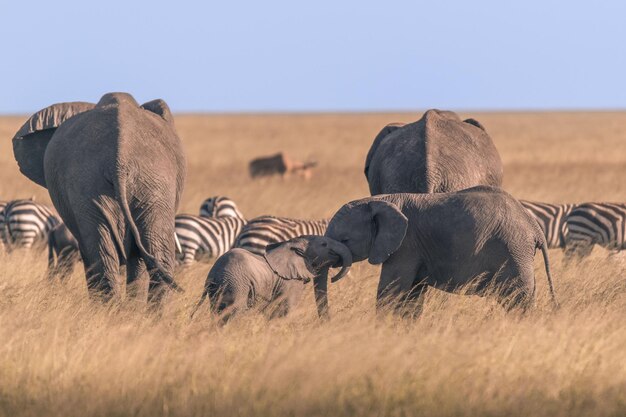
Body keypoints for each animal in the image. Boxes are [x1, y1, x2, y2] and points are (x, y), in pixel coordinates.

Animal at [191, 234, 352, 322]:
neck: (291, 244)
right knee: (235, 311)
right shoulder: (291, 282)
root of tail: (213, 273)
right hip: (236, 283)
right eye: (324, 244)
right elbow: (287, 308)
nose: (333, 279)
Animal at [324, 186, 552, 316]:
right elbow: (412, 295)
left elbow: (390, 292)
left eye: (344, 240)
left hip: (514, 251)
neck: (381, 200)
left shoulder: (406, 245)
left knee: (518, 299)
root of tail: (535, 227)